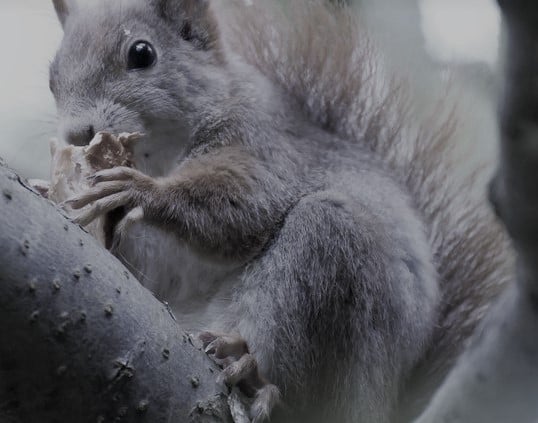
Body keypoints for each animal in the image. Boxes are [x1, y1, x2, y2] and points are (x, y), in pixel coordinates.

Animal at [49, 0, 510, 423]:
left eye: (142, 54)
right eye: (52, 76)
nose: (78, 133)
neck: (161, 154)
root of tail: (389, 403)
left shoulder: (265, 146)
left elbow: (246, 206)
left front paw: (138, 190)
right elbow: (146, 271)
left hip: (327, 247)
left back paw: (255, 372)